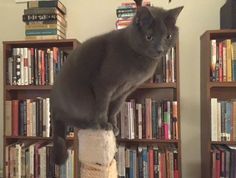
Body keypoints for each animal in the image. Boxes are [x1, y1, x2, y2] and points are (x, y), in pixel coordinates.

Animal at [51, 5, 183, 164]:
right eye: (149, 37)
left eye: (168, 36)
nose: (160, 49)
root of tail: (54, 104)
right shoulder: (104, 84)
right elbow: (102, 106)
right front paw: (104, 125)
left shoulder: (124, 92)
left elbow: (113, 110)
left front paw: (113, 126)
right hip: (79, 101)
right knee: (72, 119)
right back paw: (91, 124)